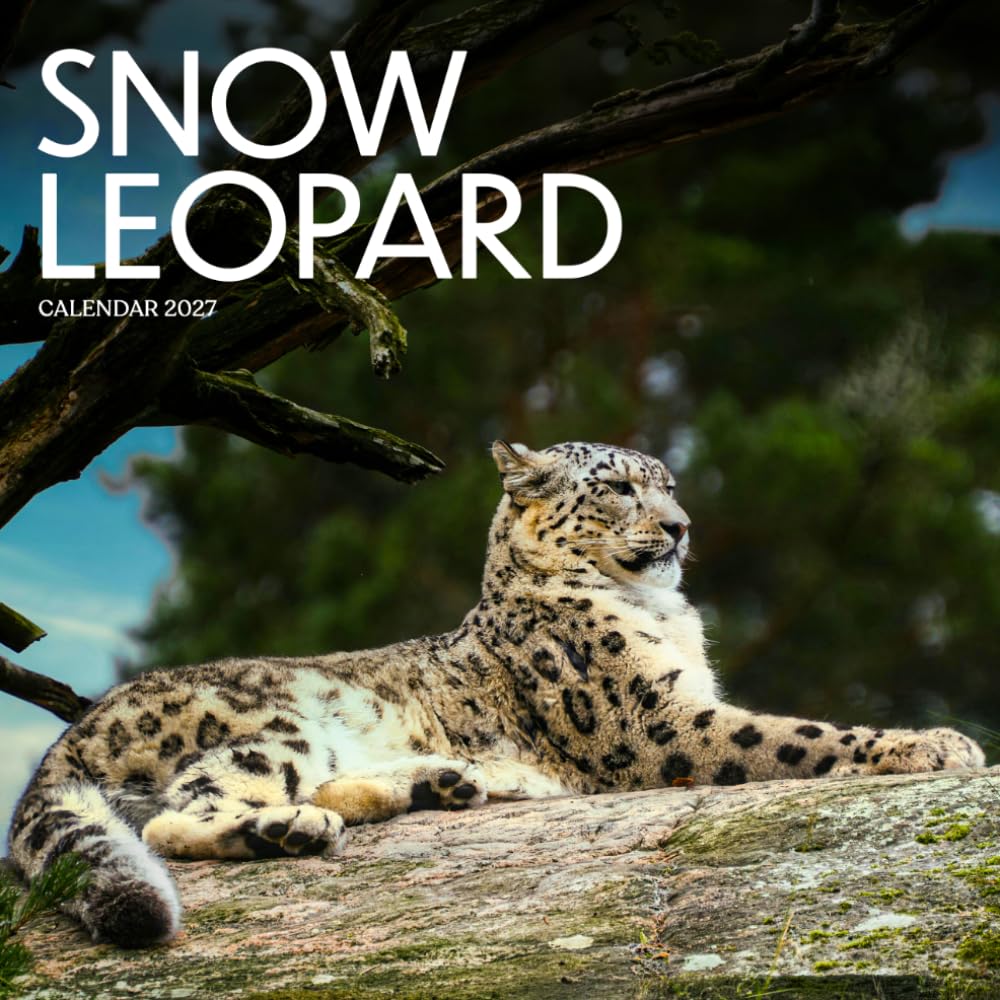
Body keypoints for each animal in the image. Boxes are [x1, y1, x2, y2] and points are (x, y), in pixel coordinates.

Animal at [8, 441, 984, 948]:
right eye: (618, 487)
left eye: (669, 485)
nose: (679, 528)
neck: (664, 615)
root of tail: (75, 729)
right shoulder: (659, 721)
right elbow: (790, 735)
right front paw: (933, 743)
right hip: (274, 722)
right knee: (182, 812)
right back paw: (289, 829)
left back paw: (440, 781)